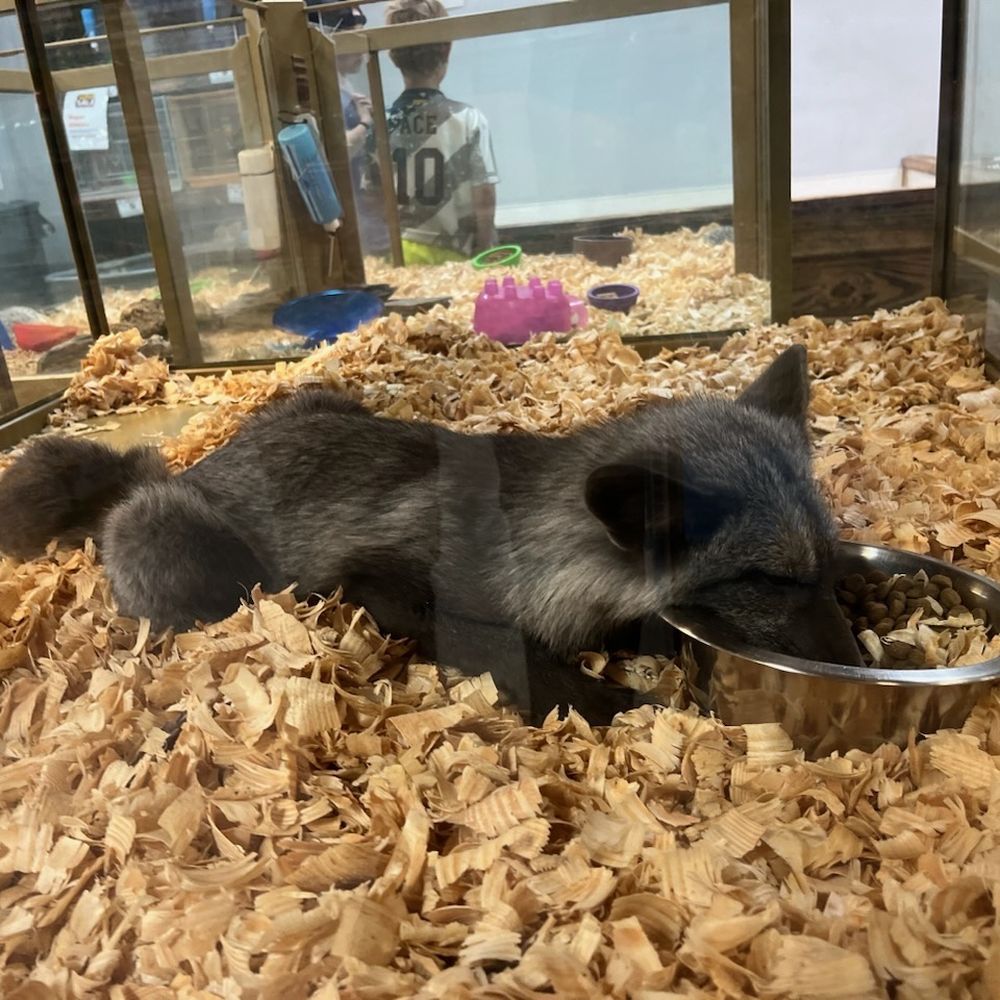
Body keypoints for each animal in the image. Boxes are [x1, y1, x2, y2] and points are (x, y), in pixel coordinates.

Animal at [0, 344, 862, 724]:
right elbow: (507, 652)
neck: (541, 550)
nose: (855, 664)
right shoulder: (377, 580)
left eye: (827, 570)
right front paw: (597, 699)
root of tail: (169, 470)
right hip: (197, 560)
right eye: (770, 580)